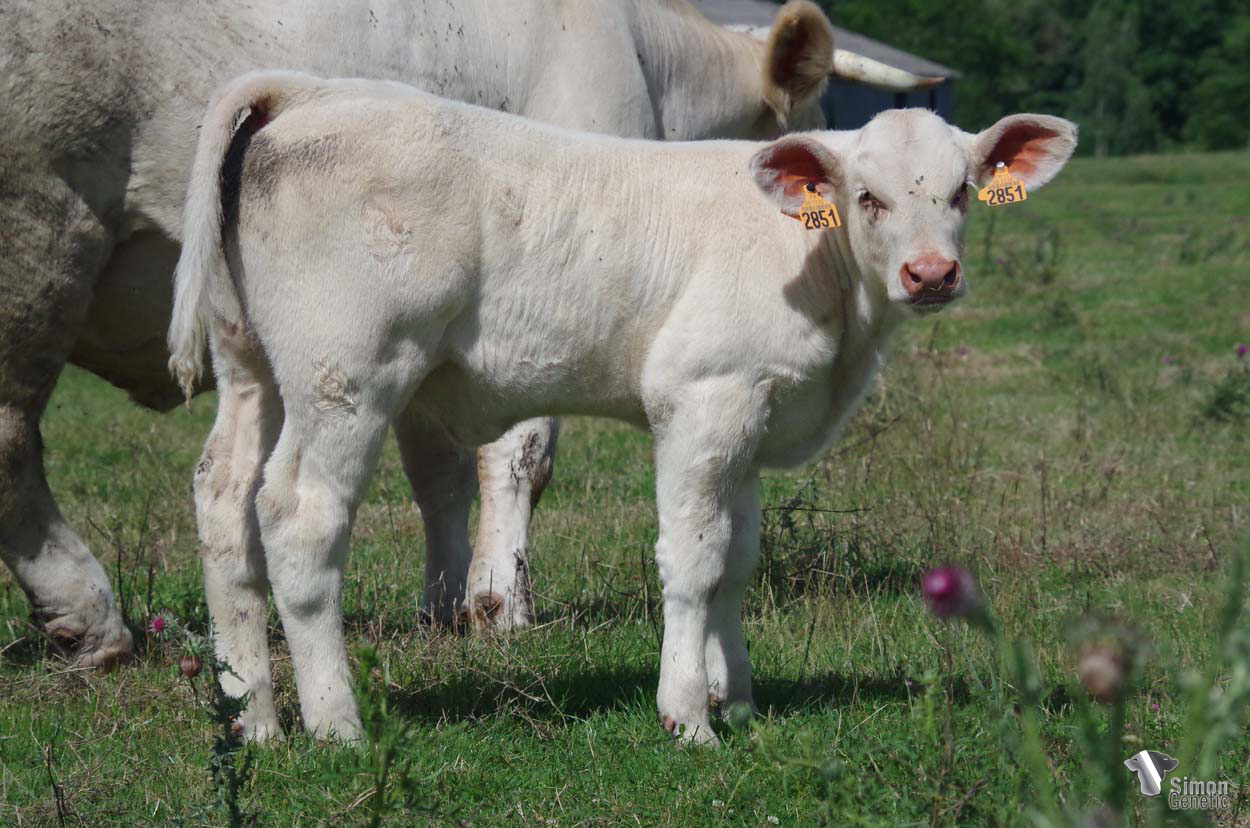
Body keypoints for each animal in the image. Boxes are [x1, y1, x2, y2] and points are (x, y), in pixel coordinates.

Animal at [0, 0, 938, 669]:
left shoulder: (431, 343)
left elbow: (439, 468)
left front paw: (445, 602)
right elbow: (518, 455)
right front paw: (500, 602)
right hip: (41, 231)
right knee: (14, 443)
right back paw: (89, 618)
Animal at [168, 70, 1076, 742]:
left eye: (961, 193)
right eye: (868, 198)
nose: (932, 274)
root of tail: (308, 90)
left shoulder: (753, 416)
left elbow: (738, 560)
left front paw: (739, 702)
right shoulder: (704, 397)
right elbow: (695, 558)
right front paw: (688, 716)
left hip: (256, 367)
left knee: (224, 500)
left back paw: (256, 719)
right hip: (346, 374)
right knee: (299, 515)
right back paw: (337, 724)